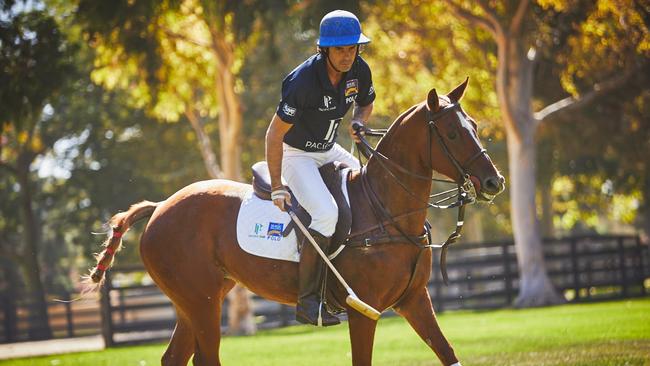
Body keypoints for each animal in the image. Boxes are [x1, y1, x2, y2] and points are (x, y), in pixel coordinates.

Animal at [90, 78, 502, 364]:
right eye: (452, 133)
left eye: (475, 125)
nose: (494, 182)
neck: (386, 210)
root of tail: (160, 206)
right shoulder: (364, 310)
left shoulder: (414, 300)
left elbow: (448, 353)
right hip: (200, 300)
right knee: (205, 358)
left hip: (194, 300)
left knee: (174, 357)